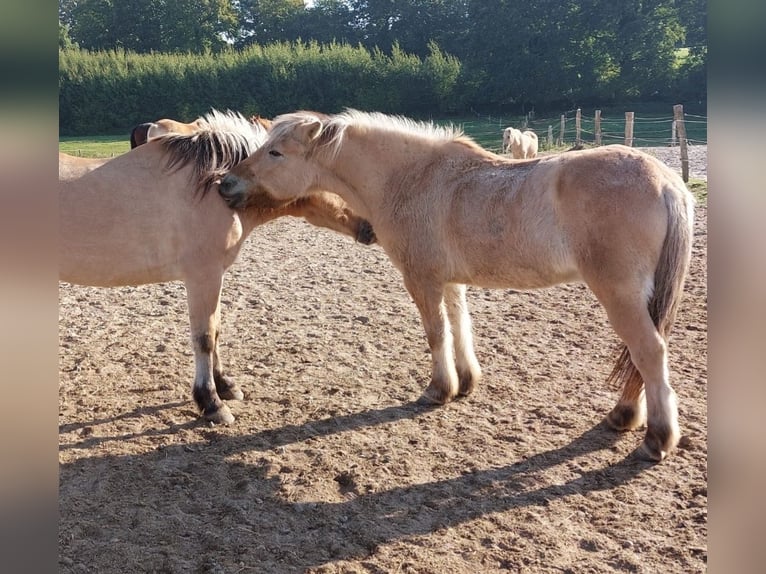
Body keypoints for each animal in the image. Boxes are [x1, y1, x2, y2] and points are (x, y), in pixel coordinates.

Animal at [61, 109, 376, 424]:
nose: (373, 228)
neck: (212, 189)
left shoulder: (215, 278)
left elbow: (216, 330)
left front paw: (225, 386)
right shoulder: (203, 278)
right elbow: (204, 338)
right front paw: (211, 402)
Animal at [218, 109, 695, 461]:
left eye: (275, 152)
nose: (226, 183)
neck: (409, 180)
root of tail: (668, 183)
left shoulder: (421, 278)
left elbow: (436, 333)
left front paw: (438, 390)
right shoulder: (450, 282)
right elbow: (459, 326)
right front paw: (466, 382)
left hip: (620, 295)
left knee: (649, 352)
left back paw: (655, 439)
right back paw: (624, 416)